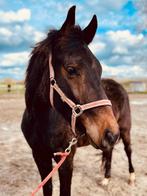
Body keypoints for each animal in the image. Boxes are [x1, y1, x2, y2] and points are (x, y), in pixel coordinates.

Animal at [21, 6, 119, 196]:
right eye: (71, 69)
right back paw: (106, 179)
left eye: (100, 70)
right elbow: (47, 188)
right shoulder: (39, 156)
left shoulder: (65, 159)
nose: (111, 133)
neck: (41, 122)